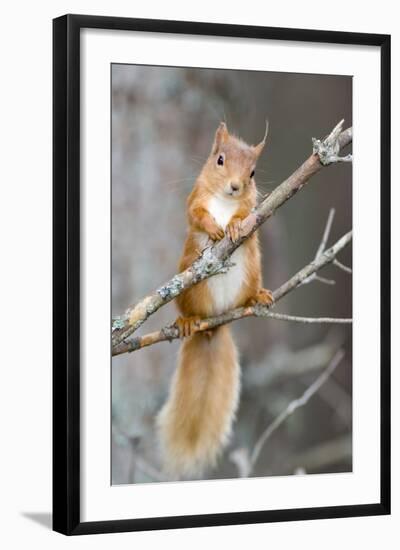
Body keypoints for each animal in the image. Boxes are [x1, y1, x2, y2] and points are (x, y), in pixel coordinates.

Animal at [158, 122, 274, 478]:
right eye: (219, 160)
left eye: (253, 172)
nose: (235, 186)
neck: (223, 201)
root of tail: (214, 324)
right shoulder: (194, 198)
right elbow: (195, 215)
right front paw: (214, 227)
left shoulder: (253, 209)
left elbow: (246, 216)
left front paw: (234, 225)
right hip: (188, 286)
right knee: (188, 310)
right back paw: (186, 321)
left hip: (252, 271)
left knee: (249, 292)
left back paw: (258, 297)